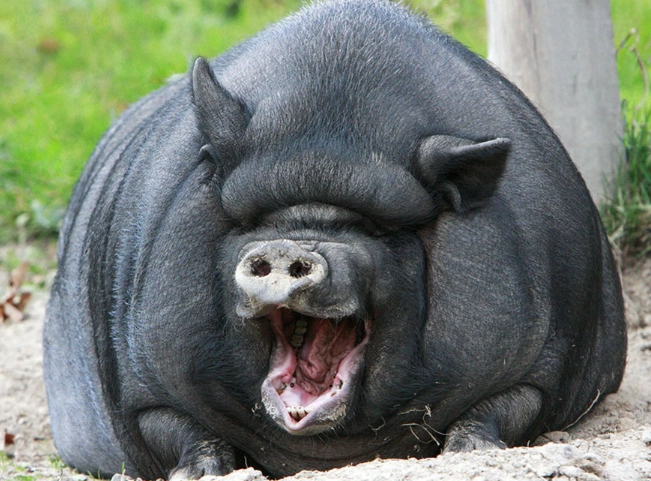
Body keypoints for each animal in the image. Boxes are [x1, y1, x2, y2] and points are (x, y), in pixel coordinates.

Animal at [43, 0, 627, 479]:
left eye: (376, 229)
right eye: (255, 221)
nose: (287, 248)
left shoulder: (540, 362)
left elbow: (506, 406)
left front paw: (470, 454)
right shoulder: (141, 380)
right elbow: (171, 425)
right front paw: (200, 472)